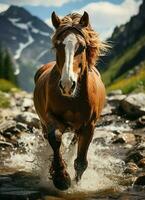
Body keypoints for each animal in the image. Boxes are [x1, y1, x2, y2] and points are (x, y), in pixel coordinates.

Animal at [33, 11, 107, 191]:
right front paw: (61, 178)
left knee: (74, 144)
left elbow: (80, 162)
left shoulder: (89, 127)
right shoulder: (51, 119)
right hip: (43, 123)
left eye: (83, 47)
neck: (73, 99)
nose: (67, 84)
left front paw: (76, 184)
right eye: (58, 45)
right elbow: (55, 138)